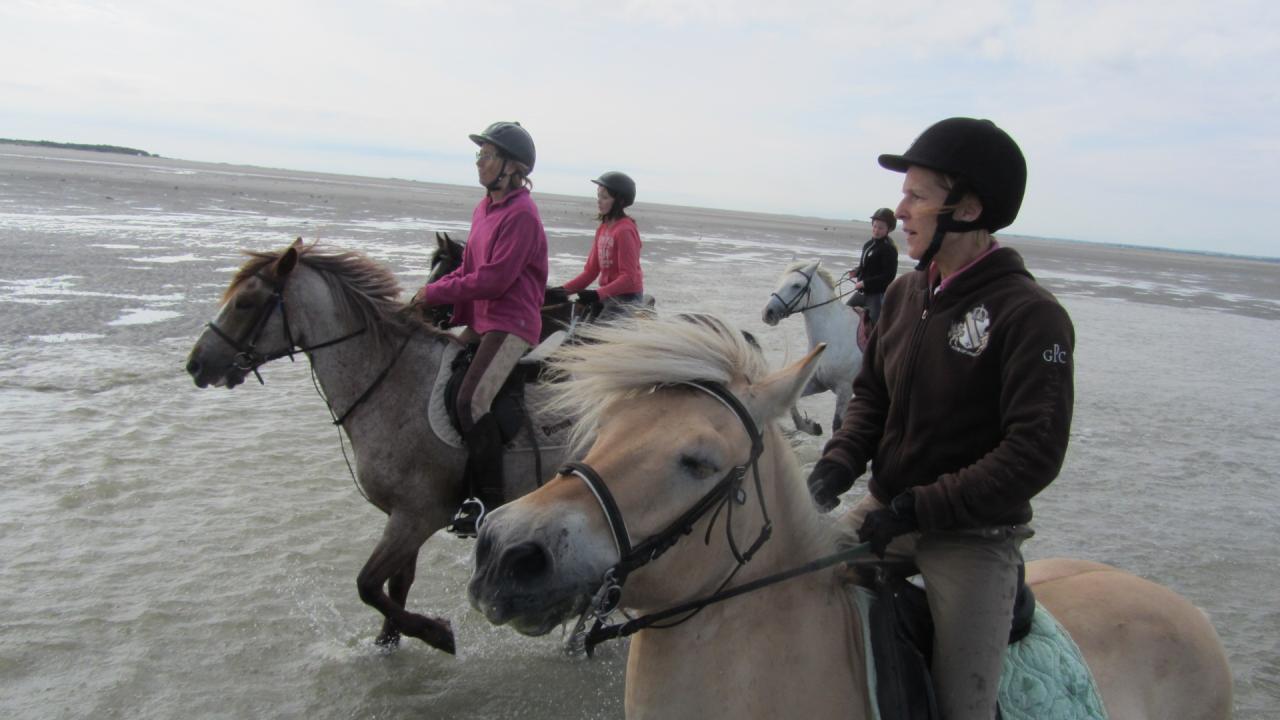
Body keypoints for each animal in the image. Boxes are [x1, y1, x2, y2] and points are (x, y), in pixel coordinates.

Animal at [185, 239, 570, 650]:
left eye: (244, 303)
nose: (196, 364)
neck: (394, 382)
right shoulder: (403, 518)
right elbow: (397, 584)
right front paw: (388, 641)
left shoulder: (417, 517)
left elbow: (367, 585)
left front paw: (435, 633)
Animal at [762, 260, 865, 435]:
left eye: (796, 285)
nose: (768, 312)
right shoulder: (817, 383)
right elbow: (792, 402)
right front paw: (811, 427)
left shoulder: (844, 389)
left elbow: (837, 425)